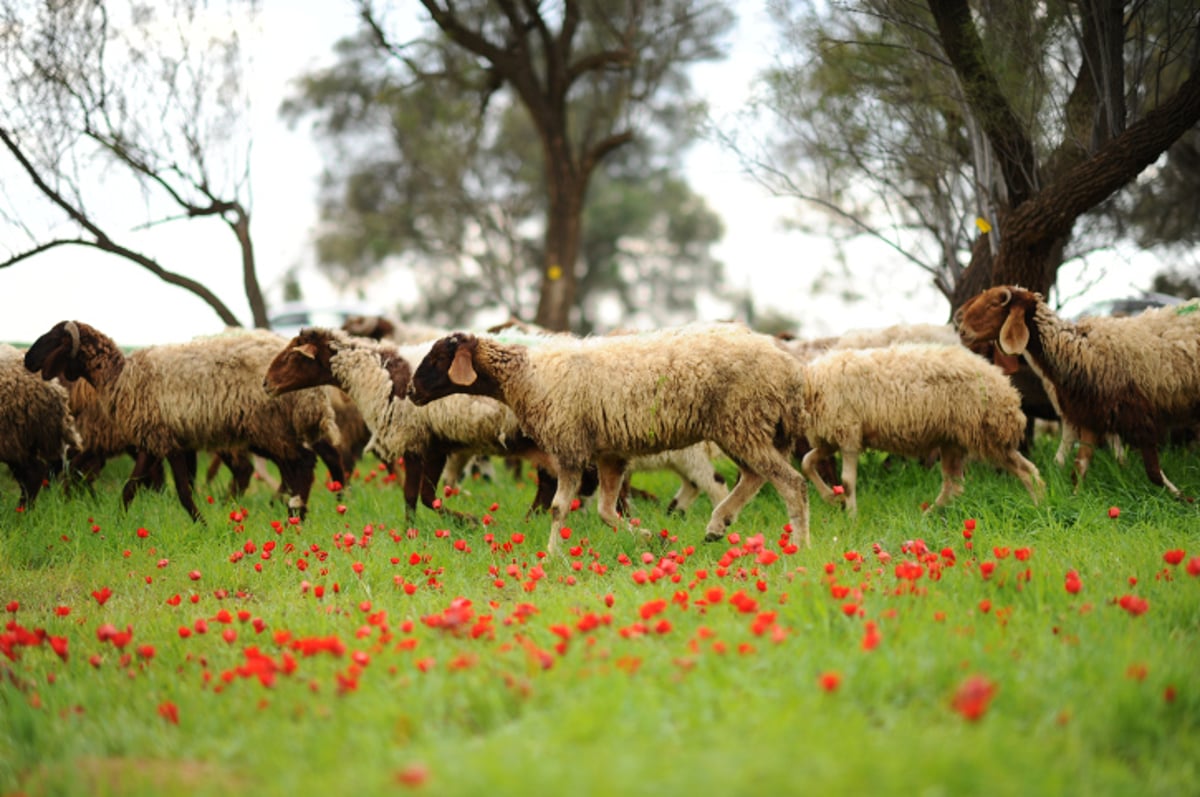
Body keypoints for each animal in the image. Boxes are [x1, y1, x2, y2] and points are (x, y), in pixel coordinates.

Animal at [23, 321, 345, 520]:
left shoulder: (158, 439)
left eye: (55, 339)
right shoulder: (157, 440)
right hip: (273, 430)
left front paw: (200, 524)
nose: (27, 359)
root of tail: (316, 393)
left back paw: (298, 514)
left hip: (268, 427)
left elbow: (174, 489)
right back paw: (294, 509)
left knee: (305, 462)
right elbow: (138, 487)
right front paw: (118, 522)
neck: (120, 375)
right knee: (297, 466)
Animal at [408, 321, 811, 554]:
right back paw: (717, 526)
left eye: (437, 359)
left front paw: (552, 556)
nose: (411, 392)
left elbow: (559, 507)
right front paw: (648, 537)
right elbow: (605, 510)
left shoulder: (569, 446)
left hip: (743, 421)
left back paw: (799, 546)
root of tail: (790, 367)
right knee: (755, 477)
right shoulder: (609, 454)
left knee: (791, 482)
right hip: (741, 428)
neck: (526, 376)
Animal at [801, 338, 1046, 513]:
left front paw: (851, 517)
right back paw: (929, 516)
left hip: (989, 434)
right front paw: (831, 498)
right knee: (953, 485)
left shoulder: (848, 433)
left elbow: (847, 481)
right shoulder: (831, 439)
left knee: (1026, 470)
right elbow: (806, 462)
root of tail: (1006, 387)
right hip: (953, 440)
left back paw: (1038, 507)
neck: (810, 383)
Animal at [955, 286, 1200, 499]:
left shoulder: (1137, 415)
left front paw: (1181, 497)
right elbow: (1080, 465)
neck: (1079, 349)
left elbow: (1153, 471)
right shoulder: (1091, 414)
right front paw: (1074, 499)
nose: (962, 331)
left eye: (993, 304)